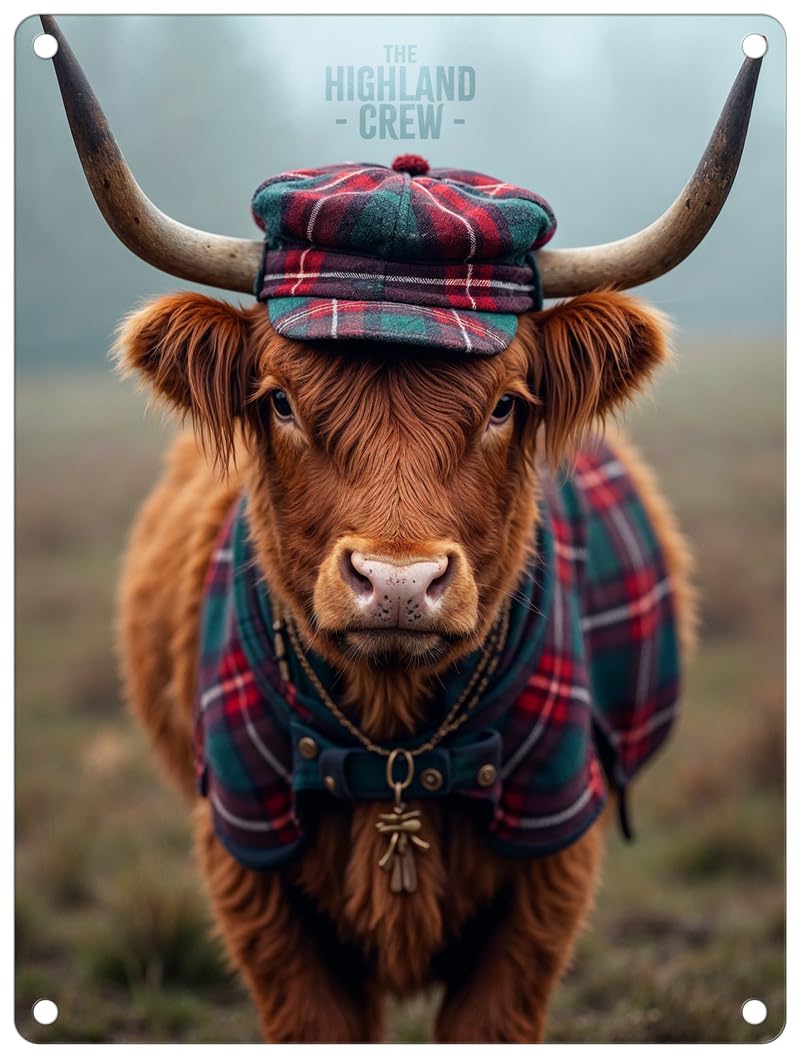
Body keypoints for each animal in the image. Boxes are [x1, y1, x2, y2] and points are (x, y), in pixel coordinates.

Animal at [42, 16, 761, 1043]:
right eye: (280, 402)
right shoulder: (253, 878)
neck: (392, 745)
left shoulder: (547, 873)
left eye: (506, 404)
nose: (395, 583)